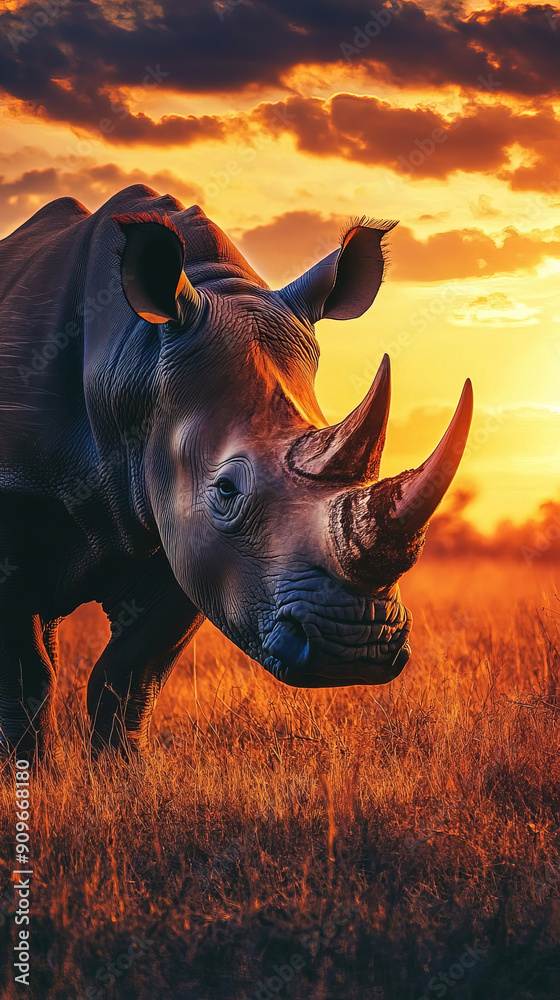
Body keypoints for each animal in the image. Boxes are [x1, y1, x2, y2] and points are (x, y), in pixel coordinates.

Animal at [0, 184, 472, 758]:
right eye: (225, 490)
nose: (354, 645)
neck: (135, 361)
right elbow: (26, 678)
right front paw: (32, 773)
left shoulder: (179, 531)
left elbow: (130, 674)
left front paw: (121, 772)